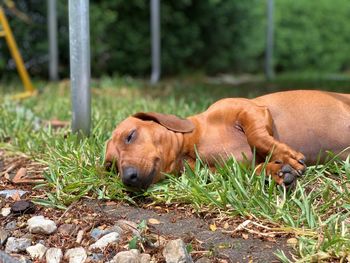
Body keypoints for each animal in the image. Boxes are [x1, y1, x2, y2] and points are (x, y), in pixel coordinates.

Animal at [104, 91, 350, 190]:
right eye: (112, 166)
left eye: (130, 136)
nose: (128, 178)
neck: (193, 147)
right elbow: (251, 170)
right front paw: (276, 171)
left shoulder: (250, 110)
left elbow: (258, 137)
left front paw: (286, 157)